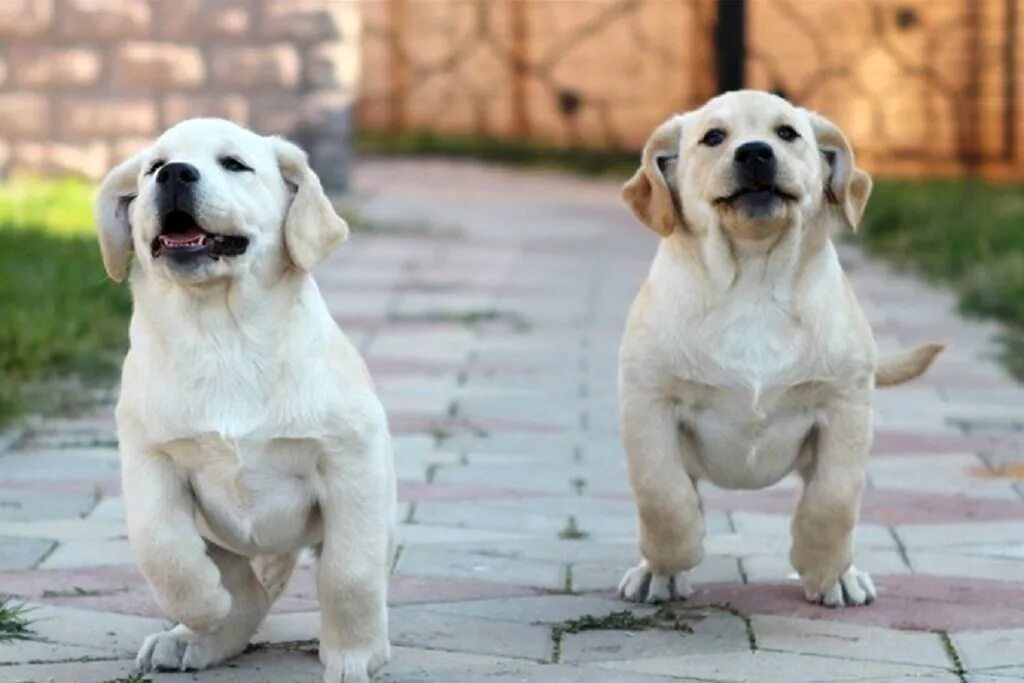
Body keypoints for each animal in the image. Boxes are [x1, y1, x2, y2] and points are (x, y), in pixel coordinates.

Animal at [96, 118, 393, 683]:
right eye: (152, 167)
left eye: (234, 164)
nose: (174, 174)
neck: (220, 333)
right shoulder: (149, 457)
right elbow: (161, 546)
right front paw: (204, 607)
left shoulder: (350, 463)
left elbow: (349, 572)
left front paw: (356, 654)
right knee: (244, 588)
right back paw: (193, 636)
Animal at [614, 90, 942, 610]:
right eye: (713, 137)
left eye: (787, 133)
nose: (754, 153)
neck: (752, 280)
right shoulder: (648, 399)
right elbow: (662, 493)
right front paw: (672, 559)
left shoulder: (845, 405)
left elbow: (834, 498)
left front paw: (825, 571)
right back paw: (656, 574)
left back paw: (845, 576)